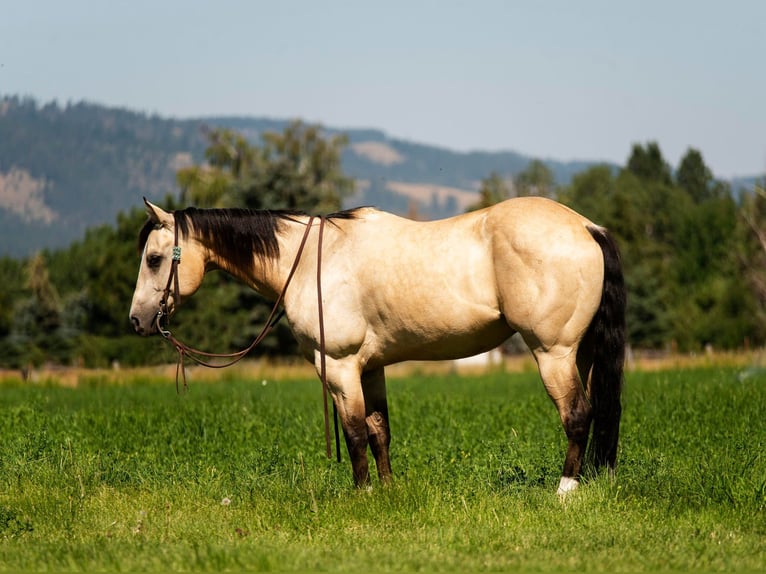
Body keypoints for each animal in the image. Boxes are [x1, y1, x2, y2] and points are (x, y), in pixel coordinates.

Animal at [129, 198, 628, 496]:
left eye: (154, 258)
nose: (138, 320)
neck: (309, 261)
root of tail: (587, 226)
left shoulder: (339, 366)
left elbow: (352, 432)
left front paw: (362, 494)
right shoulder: (370, 369)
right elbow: (378, 431)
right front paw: (387, 492)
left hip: (553, 353)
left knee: (577, 414)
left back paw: (566, 490)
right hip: (581, 354)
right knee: (596, 411)